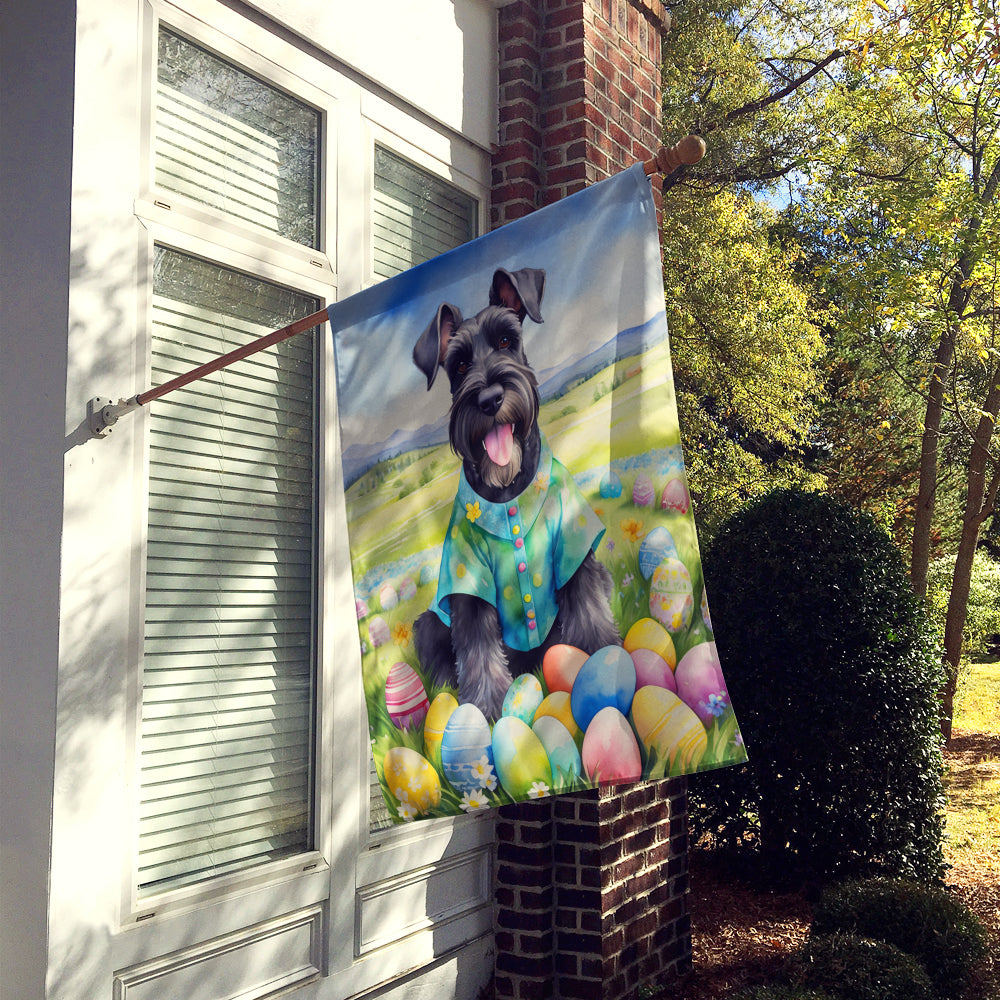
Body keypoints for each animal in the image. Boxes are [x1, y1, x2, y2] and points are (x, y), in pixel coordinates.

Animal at [410, 268, 620, 720]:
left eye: (507, 340)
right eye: (459, 364)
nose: (489, 399)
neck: (508, 497)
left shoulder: (575, 554)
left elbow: (591, 617)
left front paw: (609, 664)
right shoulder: (467, 590)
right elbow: (478, 654)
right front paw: (486, 716)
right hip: (428, 623)